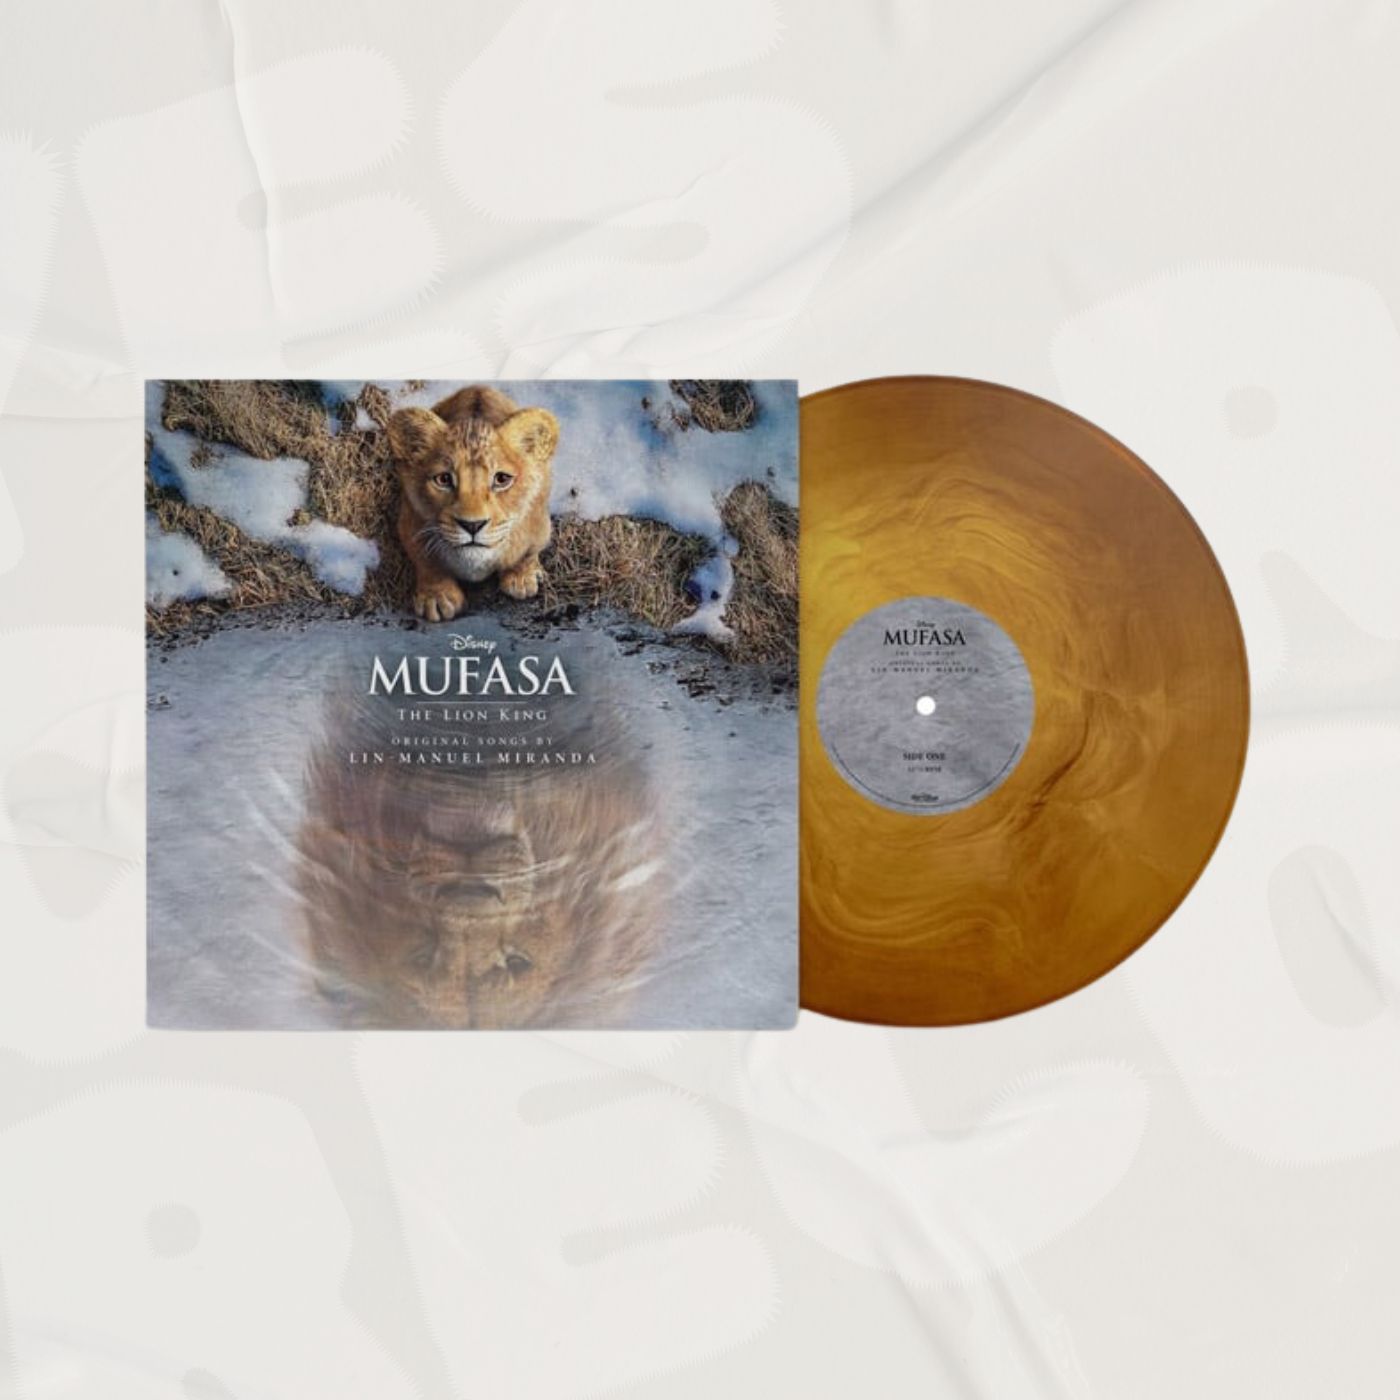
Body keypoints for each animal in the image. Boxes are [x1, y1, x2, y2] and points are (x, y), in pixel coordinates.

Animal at [387, 386, 559, 621]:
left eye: (502, 479)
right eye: (443, 479)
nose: (472, 525)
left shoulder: (540, 524)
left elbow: (527, 553)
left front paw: (521, 579)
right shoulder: (410, 523)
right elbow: (426, 561)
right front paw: (437, 597)